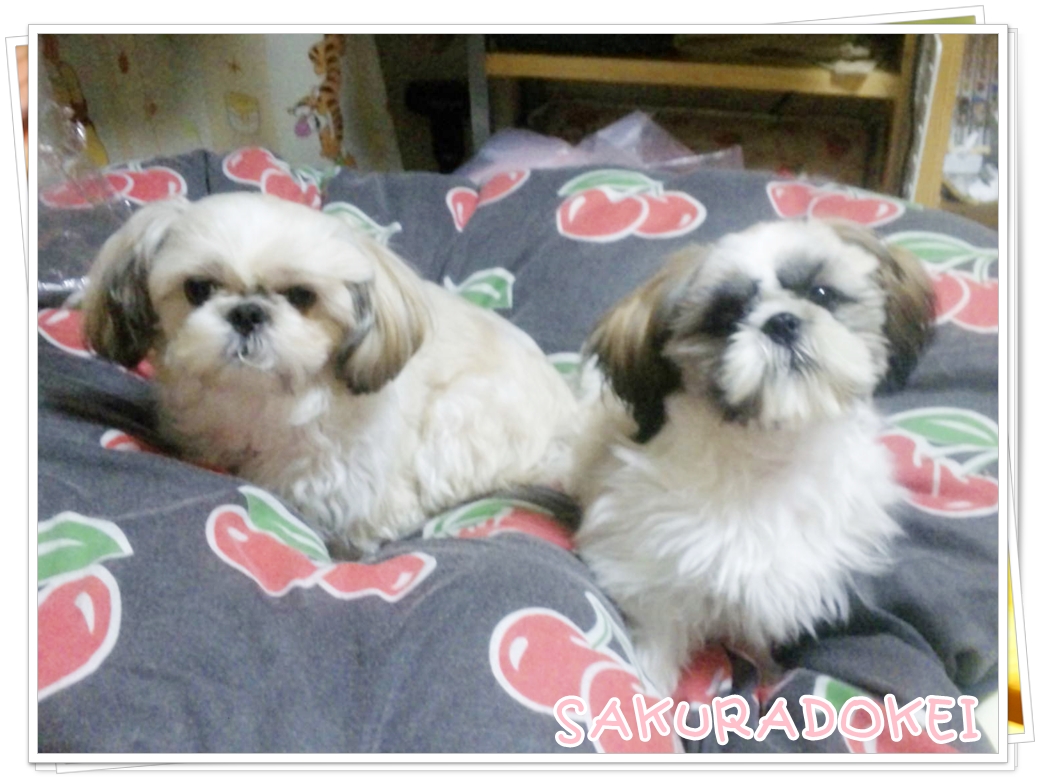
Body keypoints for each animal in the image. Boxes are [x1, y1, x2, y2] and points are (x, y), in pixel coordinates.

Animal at [571, 219, 935, 694]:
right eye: (726, 317)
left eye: (821, 293)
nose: (781, 322)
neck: (772, 454)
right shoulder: (646, 576)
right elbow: (657, 641)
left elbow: (759, 634)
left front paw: (770, 675)